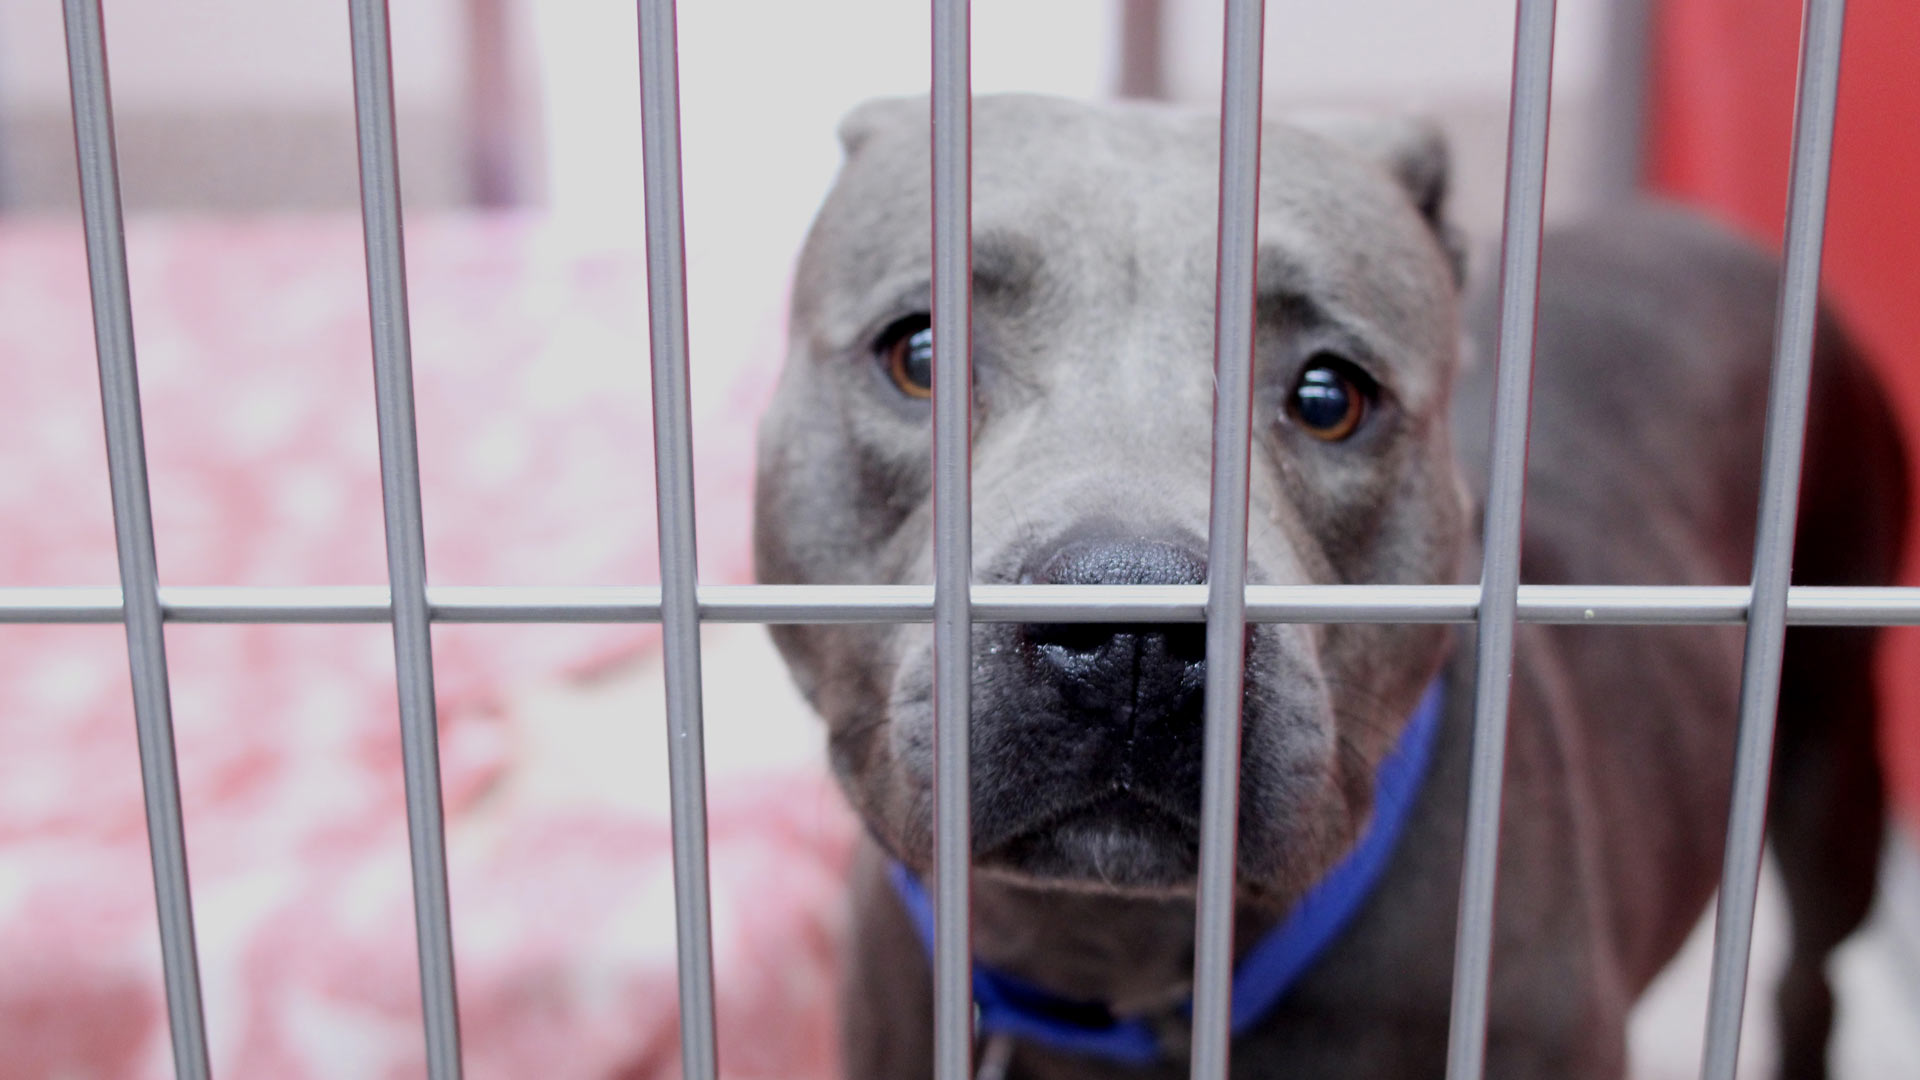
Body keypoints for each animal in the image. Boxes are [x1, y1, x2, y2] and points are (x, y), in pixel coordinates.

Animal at [748, 94, 1904, 1076]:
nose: (1132, 630)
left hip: (1832, 773)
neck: (1123, 959)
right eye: (920, 355)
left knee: (1811, 973)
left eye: (1329, 396)